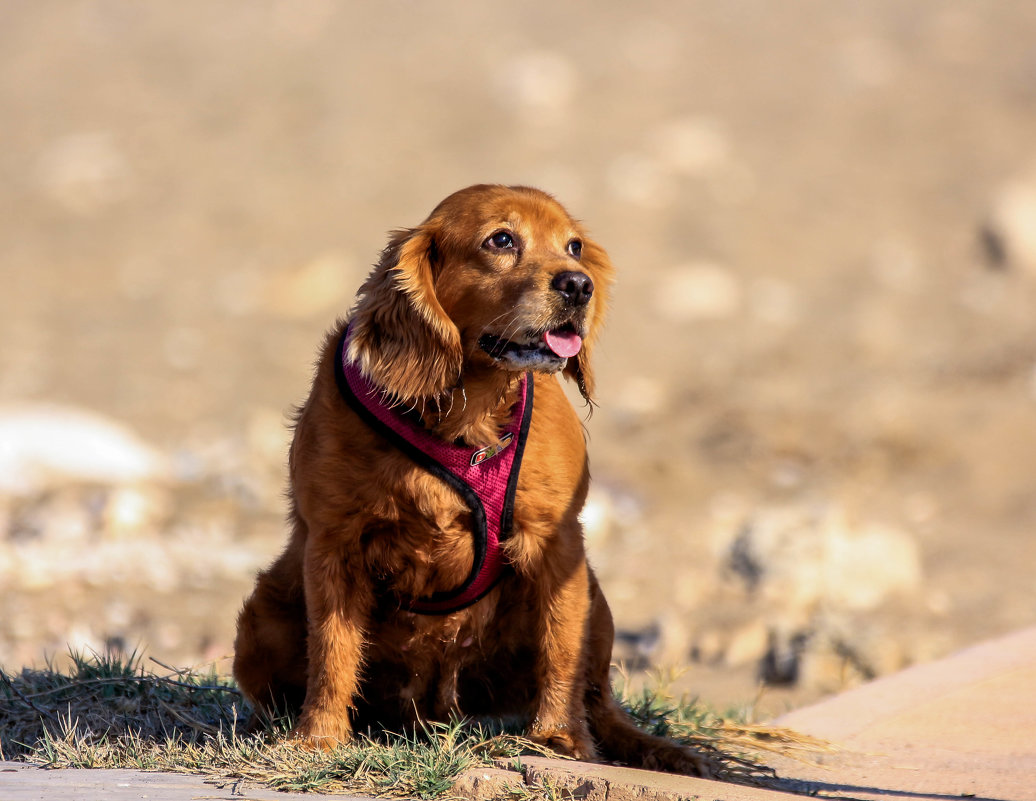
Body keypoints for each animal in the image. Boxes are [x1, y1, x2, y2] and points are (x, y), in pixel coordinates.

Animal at [231, 185, 708, 775]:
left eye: (573, 246)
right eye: (501, 240)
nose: (579, 284)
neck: (467, 414)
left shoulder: (558, 542)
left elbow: (560, 652)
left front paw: (559, 739)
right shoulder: (334, 544)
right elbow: (333, 649)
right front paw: (317, 738)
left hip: (595, 598)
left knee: (600, 699)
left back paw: (661, 752)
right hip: (262, 613)